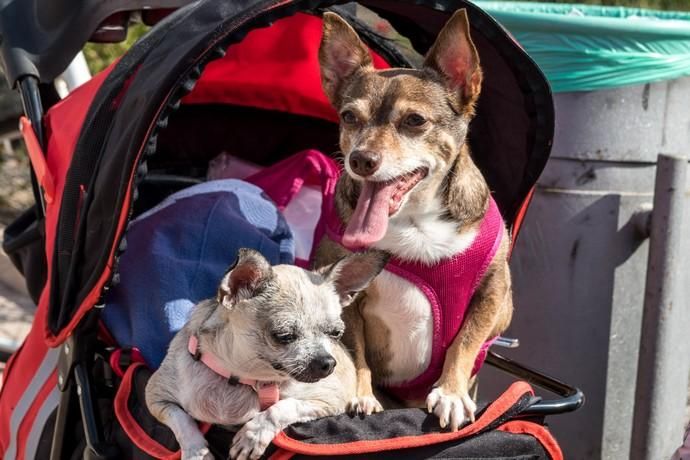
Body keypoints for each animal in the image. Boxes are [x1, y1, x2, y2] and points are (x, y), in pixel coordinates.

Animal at [312, 9, 510, 432]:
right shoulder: (342, 298)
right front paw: (361, 395)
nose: (360, 159)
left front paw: (451, 393)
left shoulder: (497, 294)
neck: (415, 221)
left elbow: (466, 339)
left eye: (415, 121)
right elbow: (354, 351)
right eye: (349, 117)